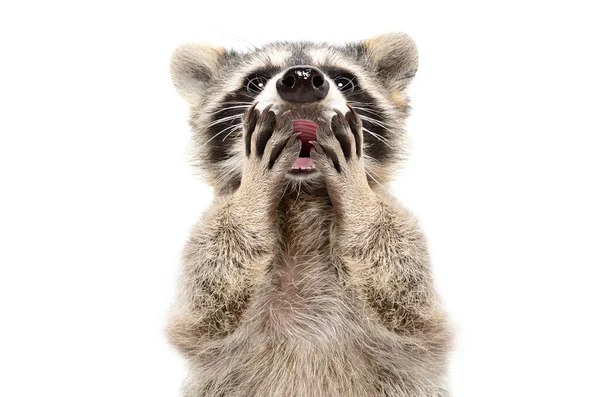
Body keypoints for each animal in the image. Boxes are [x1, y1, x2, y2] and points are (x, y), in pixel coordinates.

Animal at [166, 31, 452, 396]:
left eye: (344, 81)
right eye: (255, 81)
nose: (301, 79)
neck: (302, 196)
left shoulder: (419, 326)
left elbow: (405, 298)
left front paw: (356, 192)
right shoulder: (202, 322)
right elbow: (211, 304)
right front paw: (253, 190)